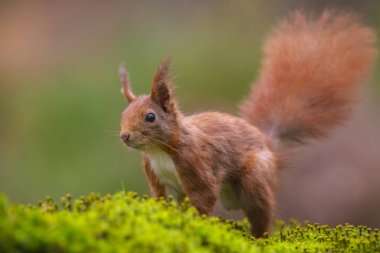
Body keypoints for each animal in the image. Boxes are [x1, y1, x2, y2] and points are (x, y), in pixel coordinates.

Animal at [118, 10, 378, 237]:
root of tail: (269, 145)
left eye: (150, 117)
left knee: (262, 213)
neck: (160, 151)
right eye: (123, 114)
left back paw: (259, 237)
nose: (124, 136)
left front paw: (193, 221)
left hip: (255, 178)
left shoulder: (197, 163)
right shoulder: (158, 178)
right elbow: (161, 199)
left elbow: (203, 198)